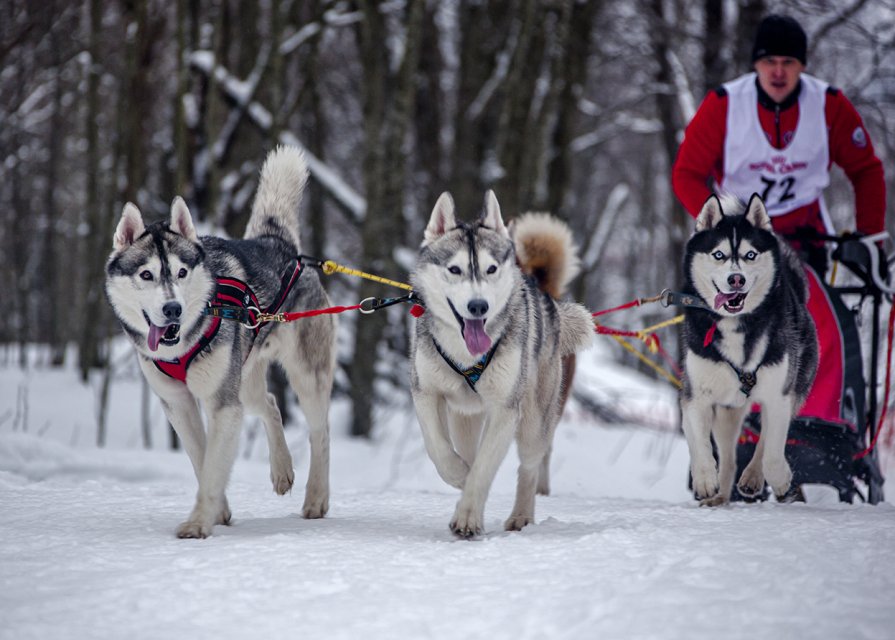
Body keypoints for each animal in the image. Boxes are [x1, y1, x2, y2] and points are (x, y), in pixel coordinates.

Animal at [106, 148, 336, 536]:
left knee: (320, 433)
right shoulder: (178, 403)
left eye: (182, 272)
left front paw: (199, 522)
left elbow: (214, 465)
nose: (173, 309)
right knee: (270, 404)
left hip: (306, 378)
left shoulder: (223, 405)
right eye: (146, 274)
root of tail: (276, 243)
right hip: (244, 380)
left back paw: (316, 498)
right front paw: (219, 512)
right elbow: (202, 459)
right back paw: (282, 470)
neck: (180, 349)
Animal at [412, 190, 596, 536]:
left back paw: (521, 516)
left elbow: (485, 467)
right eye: (454, 269)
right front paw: (458, 474)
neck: (467, 357)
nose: (478, 306)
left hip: (534, 420)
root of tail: (543, 293)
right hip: (465, 417)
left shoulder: (505, 409)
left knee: (529, 467)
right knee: (468, 448)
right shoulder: (425, 392)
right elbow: (438, 448)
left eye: (491, 269)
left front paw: (468, 516)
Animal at [680, 194, 820, 504]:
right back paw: (719, 496)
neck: (735, 326)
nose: (736, 279)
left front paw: (779, 480)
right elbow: (699, 446)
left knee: (765, 441)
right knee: (729, 458)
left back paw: (753, 478)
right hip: (727, 410)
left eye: (751, 255)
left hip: (793, 388)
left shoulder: (779, 395)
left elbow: (772, 451)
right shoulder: (696, 395)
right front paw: (705, 480)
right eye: (719, 255)